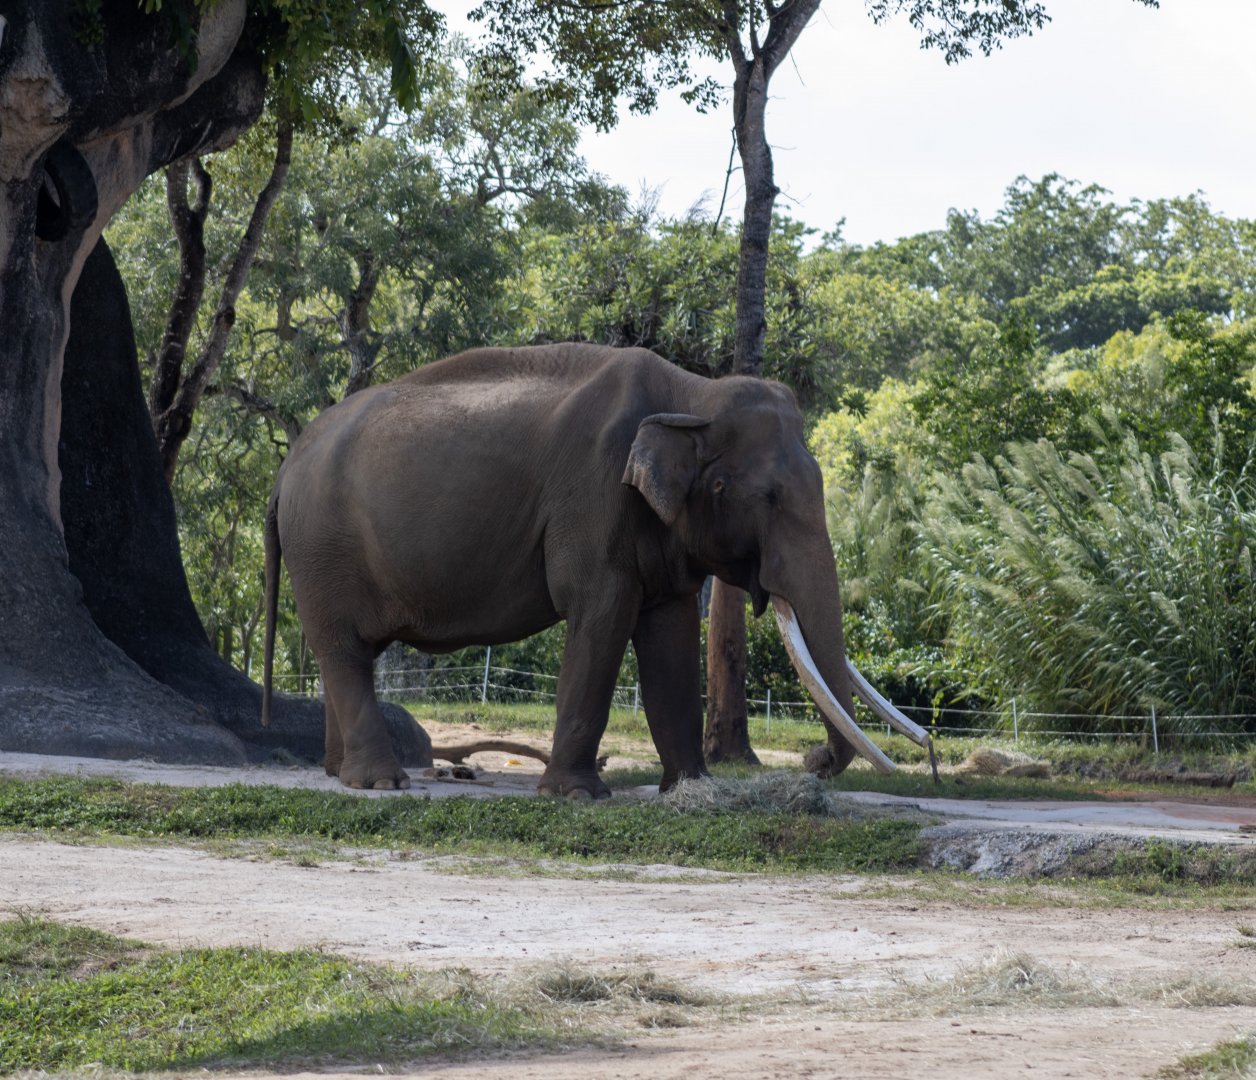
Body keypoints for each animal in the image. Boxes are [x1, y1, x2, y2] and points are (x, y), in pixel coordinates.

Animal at [262, 343, 931, 795]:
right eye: (760, 497)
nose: (815, 763)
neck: (693, 394)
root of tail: (284, 468)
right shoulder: (593, 498)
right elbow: (603, 613)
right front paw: (578, 795)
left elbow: (670, 631)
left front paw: (691, 788)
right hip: (322, 546)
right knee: (343, 650)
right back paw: (381, 783)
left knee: (345, 654)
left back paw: (337, 773)